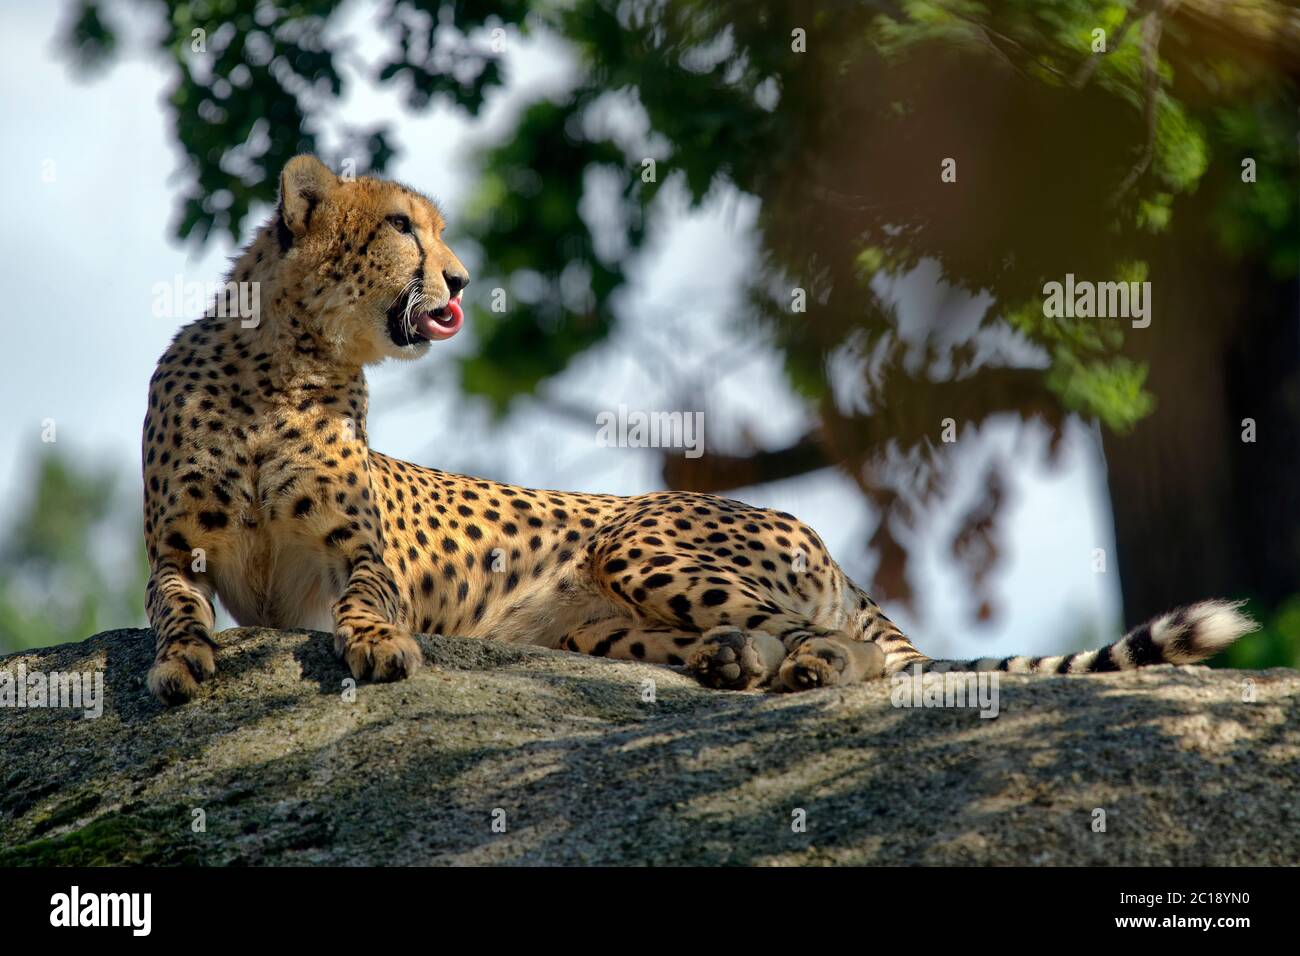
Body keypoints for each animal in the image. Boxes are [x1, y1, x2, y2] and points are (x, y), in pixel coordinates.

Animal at [142, 157, 1258, 707]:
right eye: (399, 227)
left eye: (439, 229)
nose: (458, 279)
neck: (288, 363)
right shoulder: (177, 550)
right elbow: (171, 607)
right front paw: (179, 664)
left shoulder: (356, 553)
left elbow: (367, 598)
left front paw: (378, 647)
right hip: (588, 620)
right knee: (759, 639)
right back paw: (731, 661)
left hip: (637, 540)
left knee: (844, 649)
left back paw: (797, 668)